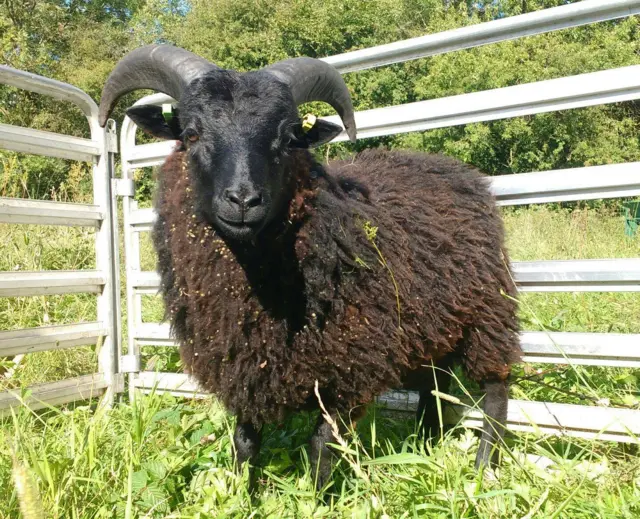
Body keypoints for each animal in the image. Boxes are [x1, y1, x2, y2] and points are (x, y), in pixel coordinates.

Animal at [99, 43, 520, 488]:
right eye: (191, 134)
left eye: (287, 140)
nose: (244, 200)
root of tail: (458, 170)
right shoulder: (245, 362)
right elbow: (244, 440)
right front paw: (244, 491)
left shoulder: (350, 366)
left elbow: (322, 446)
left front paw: (318, 495)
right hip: (432, 326)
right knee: (433, 389)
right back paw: (425, 447)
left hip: (488, 312)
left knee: (496, 390)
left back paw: (484, 467)